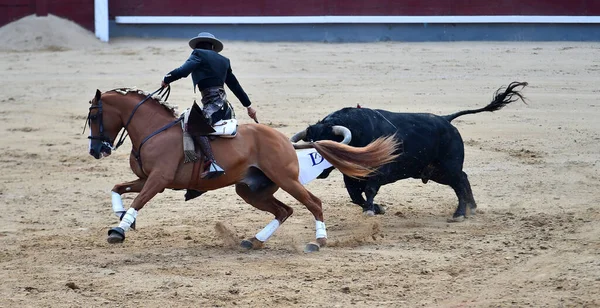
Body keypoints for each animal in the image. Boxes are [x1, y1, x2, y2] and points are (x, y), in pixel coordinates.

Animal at [85, 88, 398, 251]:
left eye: (94, 115)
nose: (97, 150)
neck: (154, 131)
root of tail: (284, 140)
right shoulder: (146, 178)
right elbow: (118, 188)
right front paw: (122, 216)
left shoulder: (158, 180)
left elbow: (138, 200)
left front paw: (119, 230)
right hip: (251, 190)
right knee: (284, 210)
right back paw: (254, 240)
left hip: (286, 179)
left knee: (313, 203)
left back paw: (318, 241)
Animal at [292, 82, 528, 221]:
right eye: (308, 142)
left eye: (326, 146)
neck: (358, 132)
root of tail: (446, 120)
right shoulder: (352, 178)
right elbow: (355, 197)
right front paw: (377, 208)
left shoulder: (379, 173)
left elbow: (369, 191)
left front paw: (371, 209)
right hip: (436, 171)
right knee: (463, 179)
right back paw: (472, 207)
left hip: (448, 166)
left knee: (460, 182)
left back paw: (460, 213)